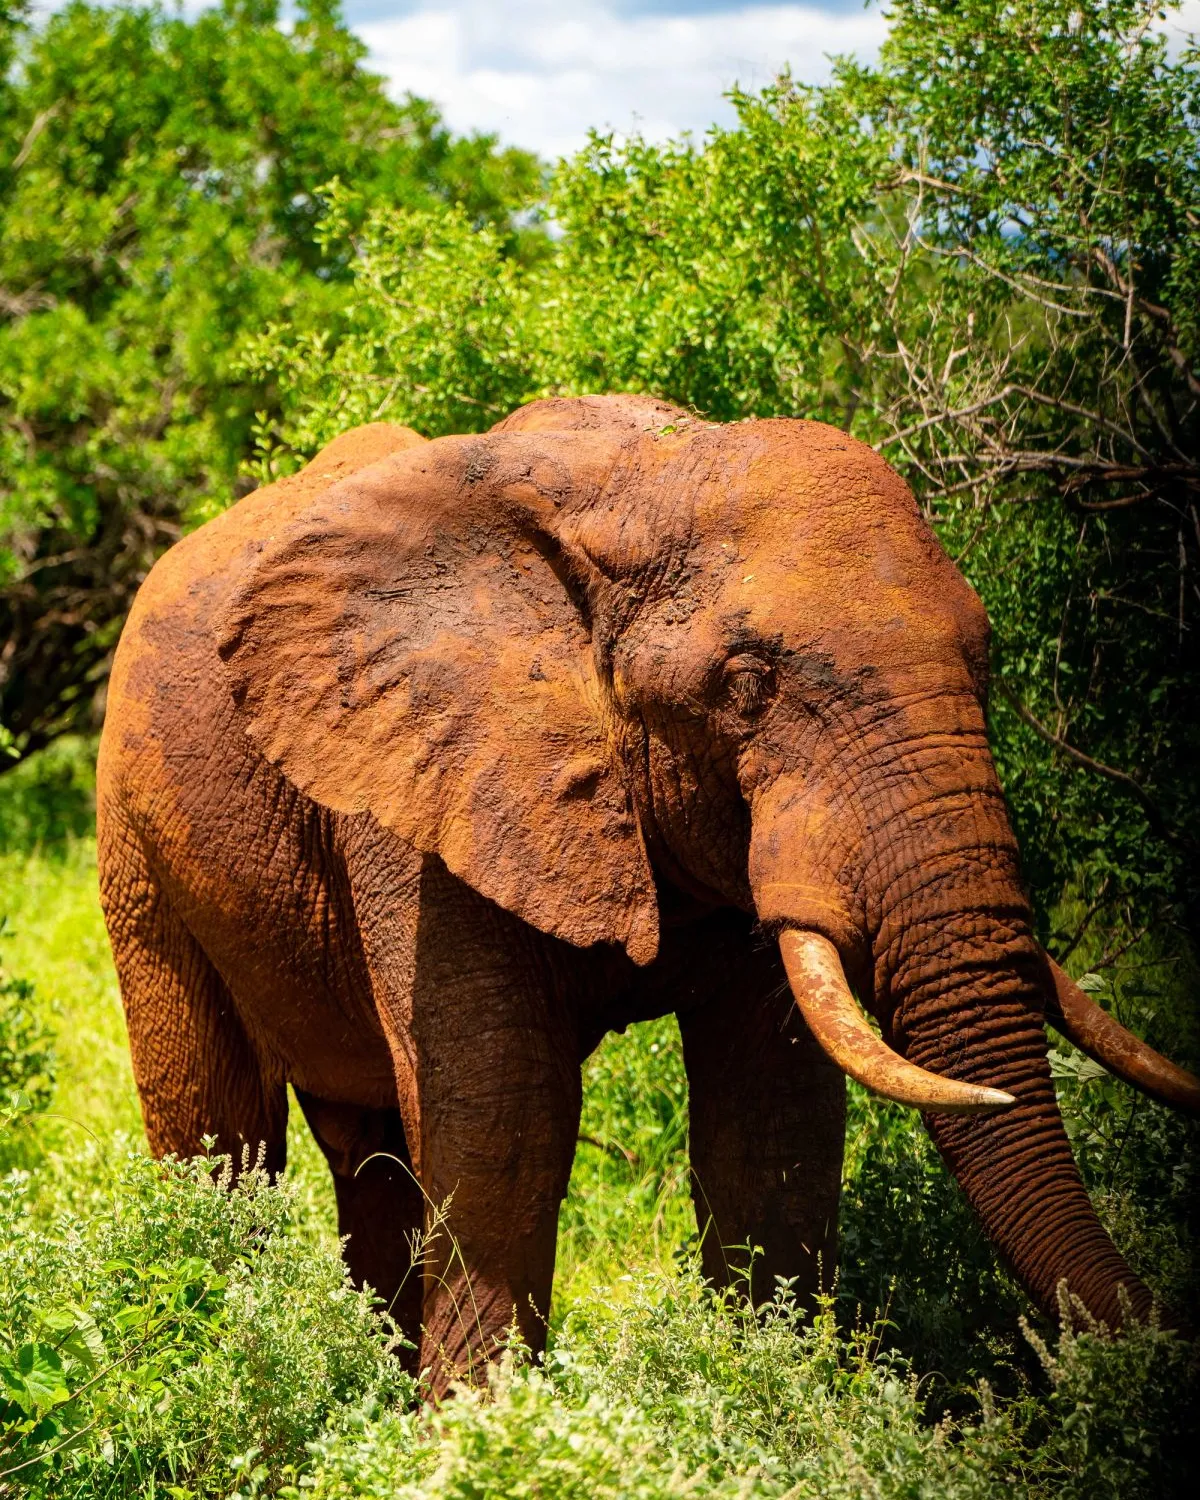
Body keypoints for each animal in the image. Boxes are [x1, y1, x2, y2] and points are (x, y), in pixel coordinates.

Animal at [96, 394, 1199, 1394]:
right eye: (748, 685)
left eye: (987, 658)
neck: (648, 477)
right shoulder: (418, 800)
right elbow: (504, 1117)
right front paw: (488, 1439)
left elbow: (771, 1114)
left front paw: (764, 1396)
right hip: (136, 836)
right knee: (219, 1145)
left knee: (368, 1163)